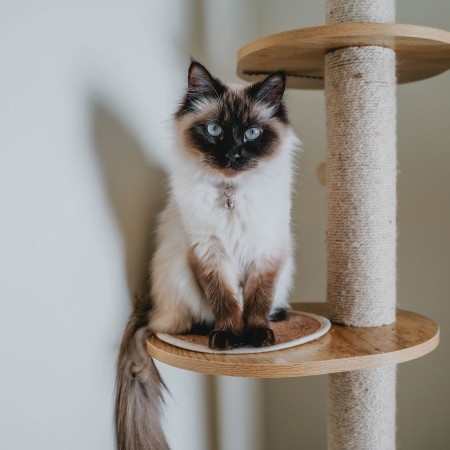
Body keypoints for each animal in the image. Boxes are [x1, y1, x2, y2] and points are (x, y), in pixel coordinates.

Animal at [115, 60, 298, 450]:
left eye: (252, 133)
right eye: (215, 130)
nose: (232, 156)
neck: (231, 192)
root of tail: (149, 307)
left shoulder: (266, 251)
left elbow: (256, 300)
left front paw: (256, 334)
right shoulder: (208, 252)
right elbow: (226, 300)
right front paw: (230, 336)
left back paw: (275, 316)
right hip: (178, 279)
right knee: (165, 326)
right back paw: (209, 329)